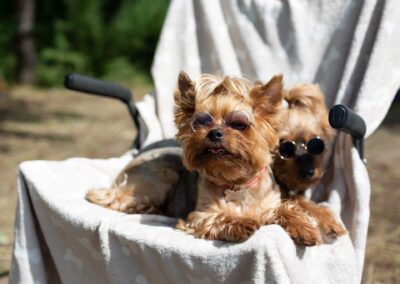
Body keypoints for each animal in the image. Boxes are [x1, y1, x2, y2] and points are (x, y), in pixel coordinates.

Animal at [86, 72, 322, 245]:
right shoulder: (200, 215)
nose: (214, 133)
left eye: (239, 124)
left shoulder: (269, 203)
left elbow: (285, 208)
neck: (236, 184)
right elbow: (219, 216)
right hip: (160, 176)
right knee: (116, 199)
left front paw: (304, 227)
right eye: (201, 122)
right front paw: (242, 223)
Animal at [272, 85, 346, 240]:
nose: (308, 173)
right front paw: (301, 228)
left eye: (316, 144)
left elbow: (307, 203)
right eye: (284, 147)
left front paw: (329, 220)